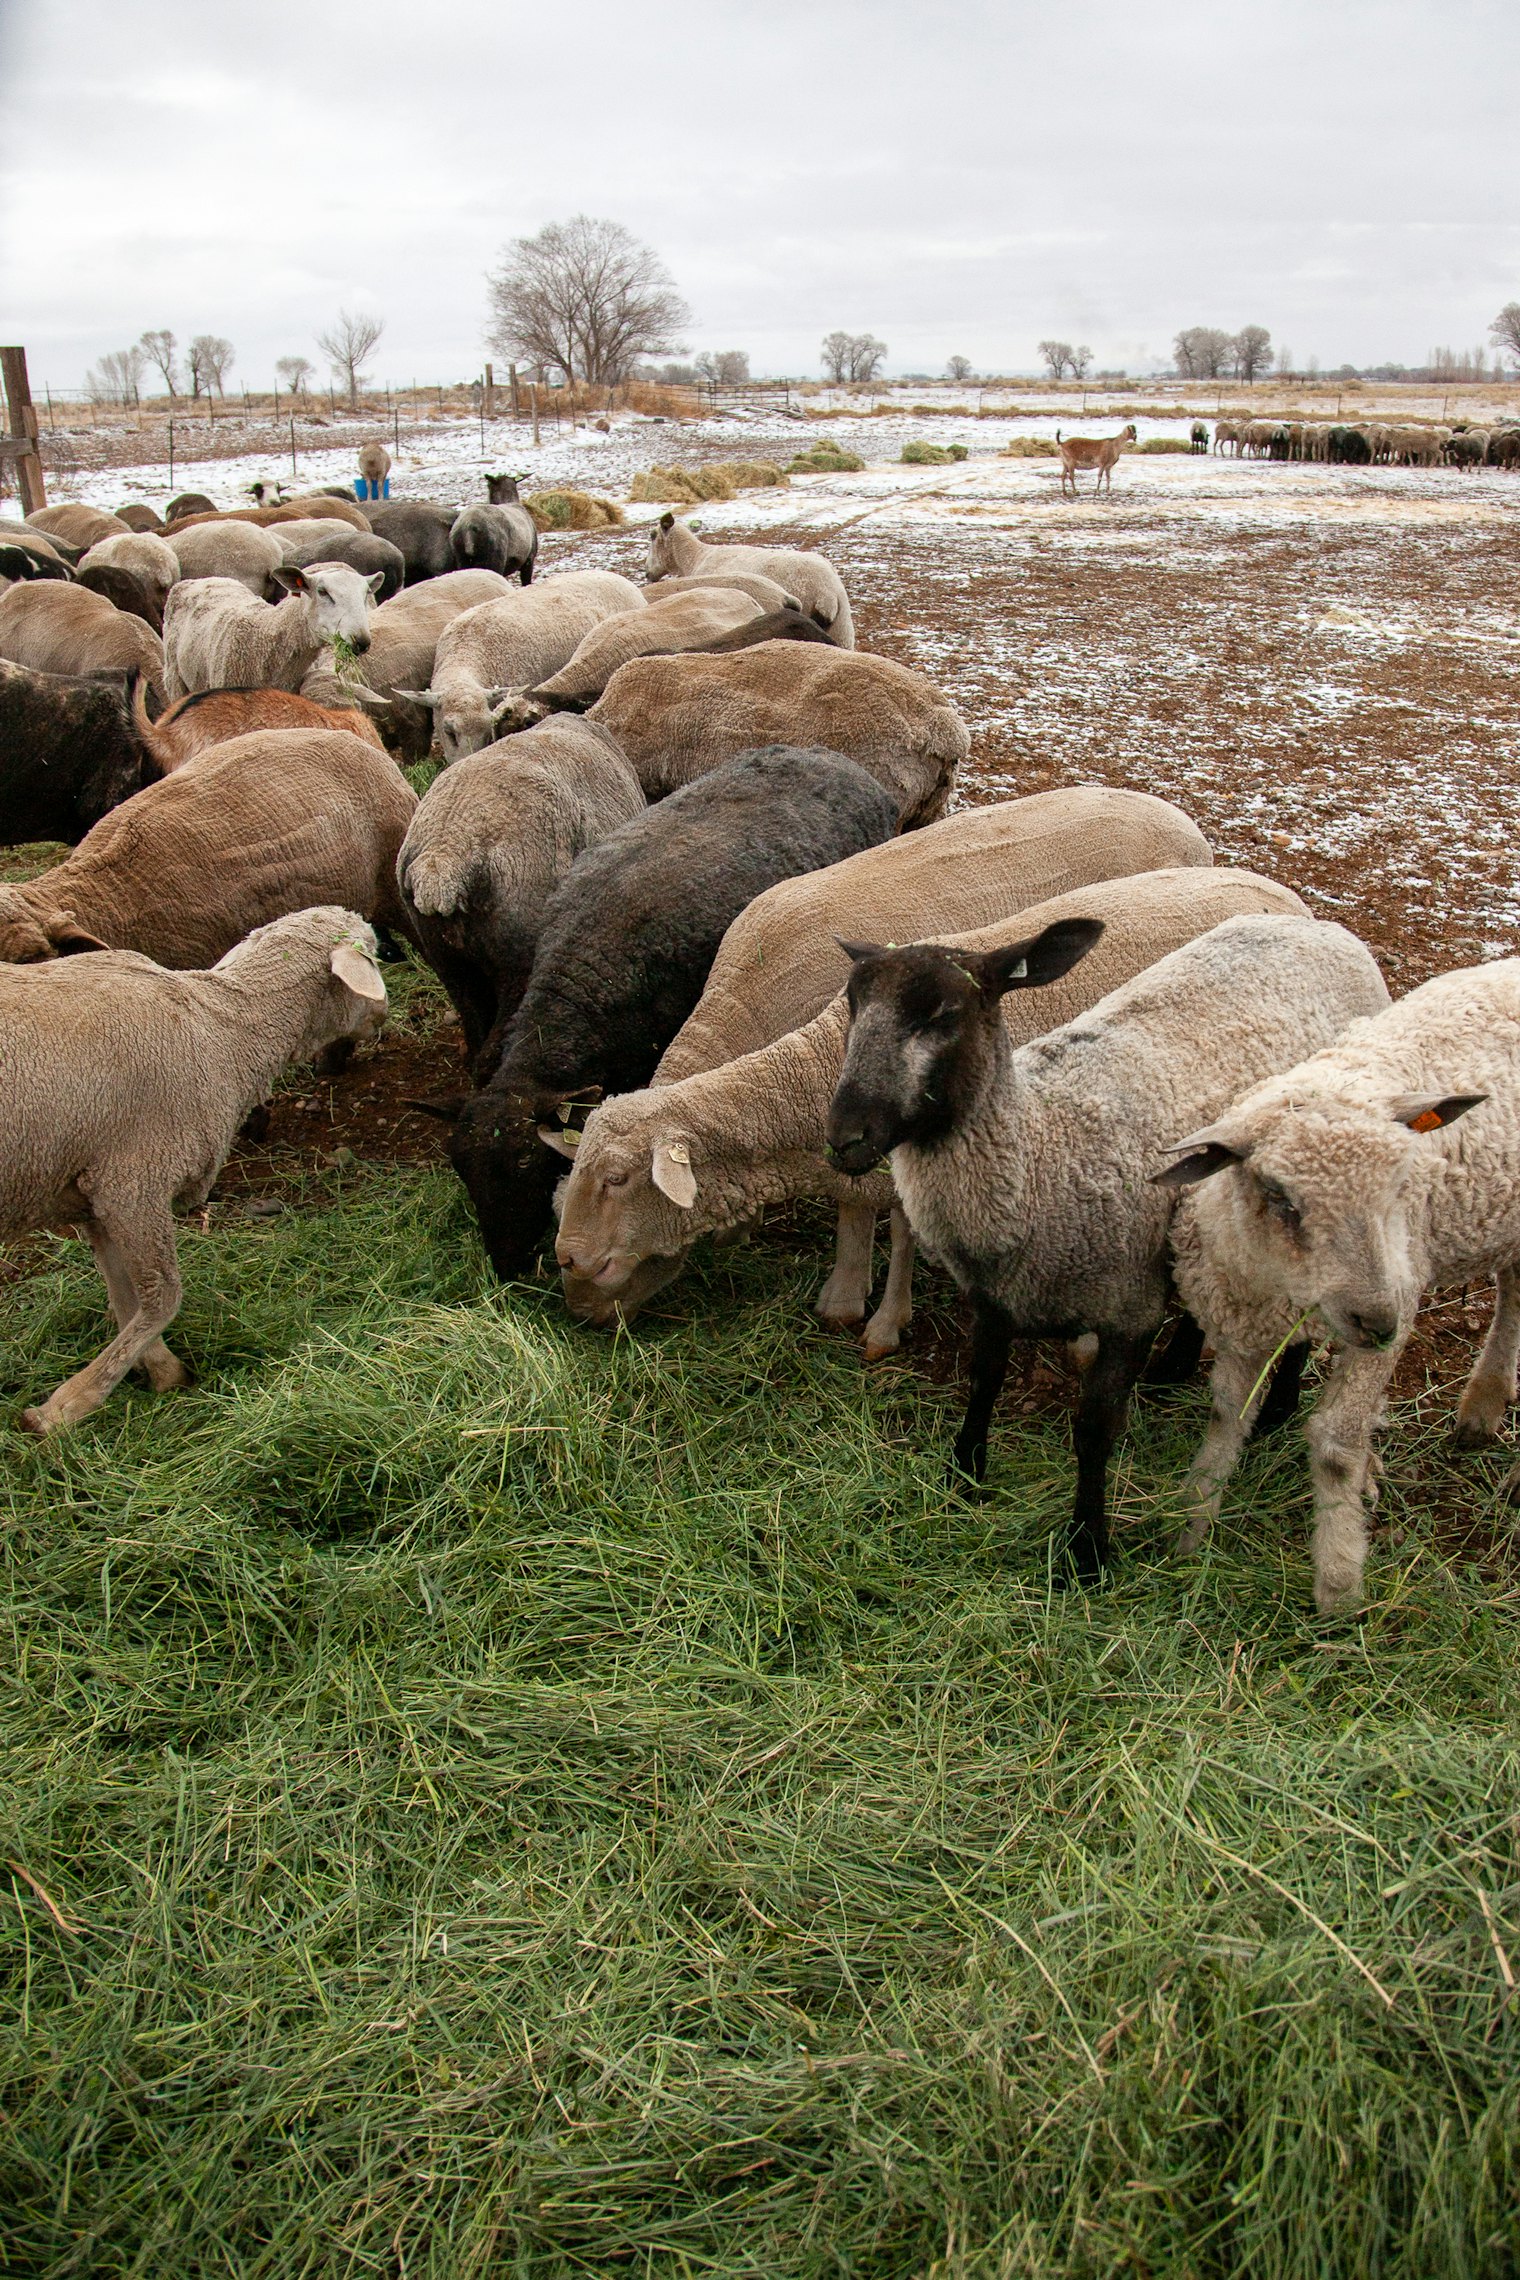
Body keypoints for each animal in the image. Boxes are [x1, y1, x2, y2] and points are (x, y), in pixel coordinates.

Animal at [0, 906, 387, 1434]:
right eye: (373, 952)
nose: (385, 1015)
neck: (223, 1035)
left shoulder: (96, 1192)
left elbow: (125, 1296)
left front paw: (162, 1372)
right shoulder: (133, 1179)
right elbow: (162, 1295)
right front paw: (66, 1406)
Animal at [555, 865, 1288, 1356]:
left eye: (617, 1179)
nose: (574, 1299)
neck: (811, 1077)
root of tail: (1283, 898)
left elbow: (903, 1234)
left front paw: (885, 1324)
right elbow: (854, 1215)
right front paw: (843, 1299)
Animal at [824, 910, 1386, 1578]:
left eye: (943, 1014)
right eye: (854, 1004)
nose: (843, 1138)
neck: (1042, 1154)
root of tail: (1324, 926)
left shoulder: (1128, 1311)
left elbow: (1095, 1431)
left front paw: (1087, 1550)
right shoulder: (993, 1299)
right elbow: (984, 1381)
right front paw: (964, 1476)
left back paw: (1276, 1406)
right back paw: (1175, 1370)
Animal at [1160, 958, 1520, 1611]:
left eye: (1403, 1183)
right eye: (1280, 1196)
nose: (1380, 1320)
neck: (1274, 1286)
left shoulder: (1392, 1298)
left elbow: (1334, 1446)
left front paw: (1339, 1586)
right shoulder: (1242, 1321)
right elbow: (1227, 1412)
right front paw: (1192, 1526)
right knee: (1516, 1287)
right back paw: (1483, 1404)